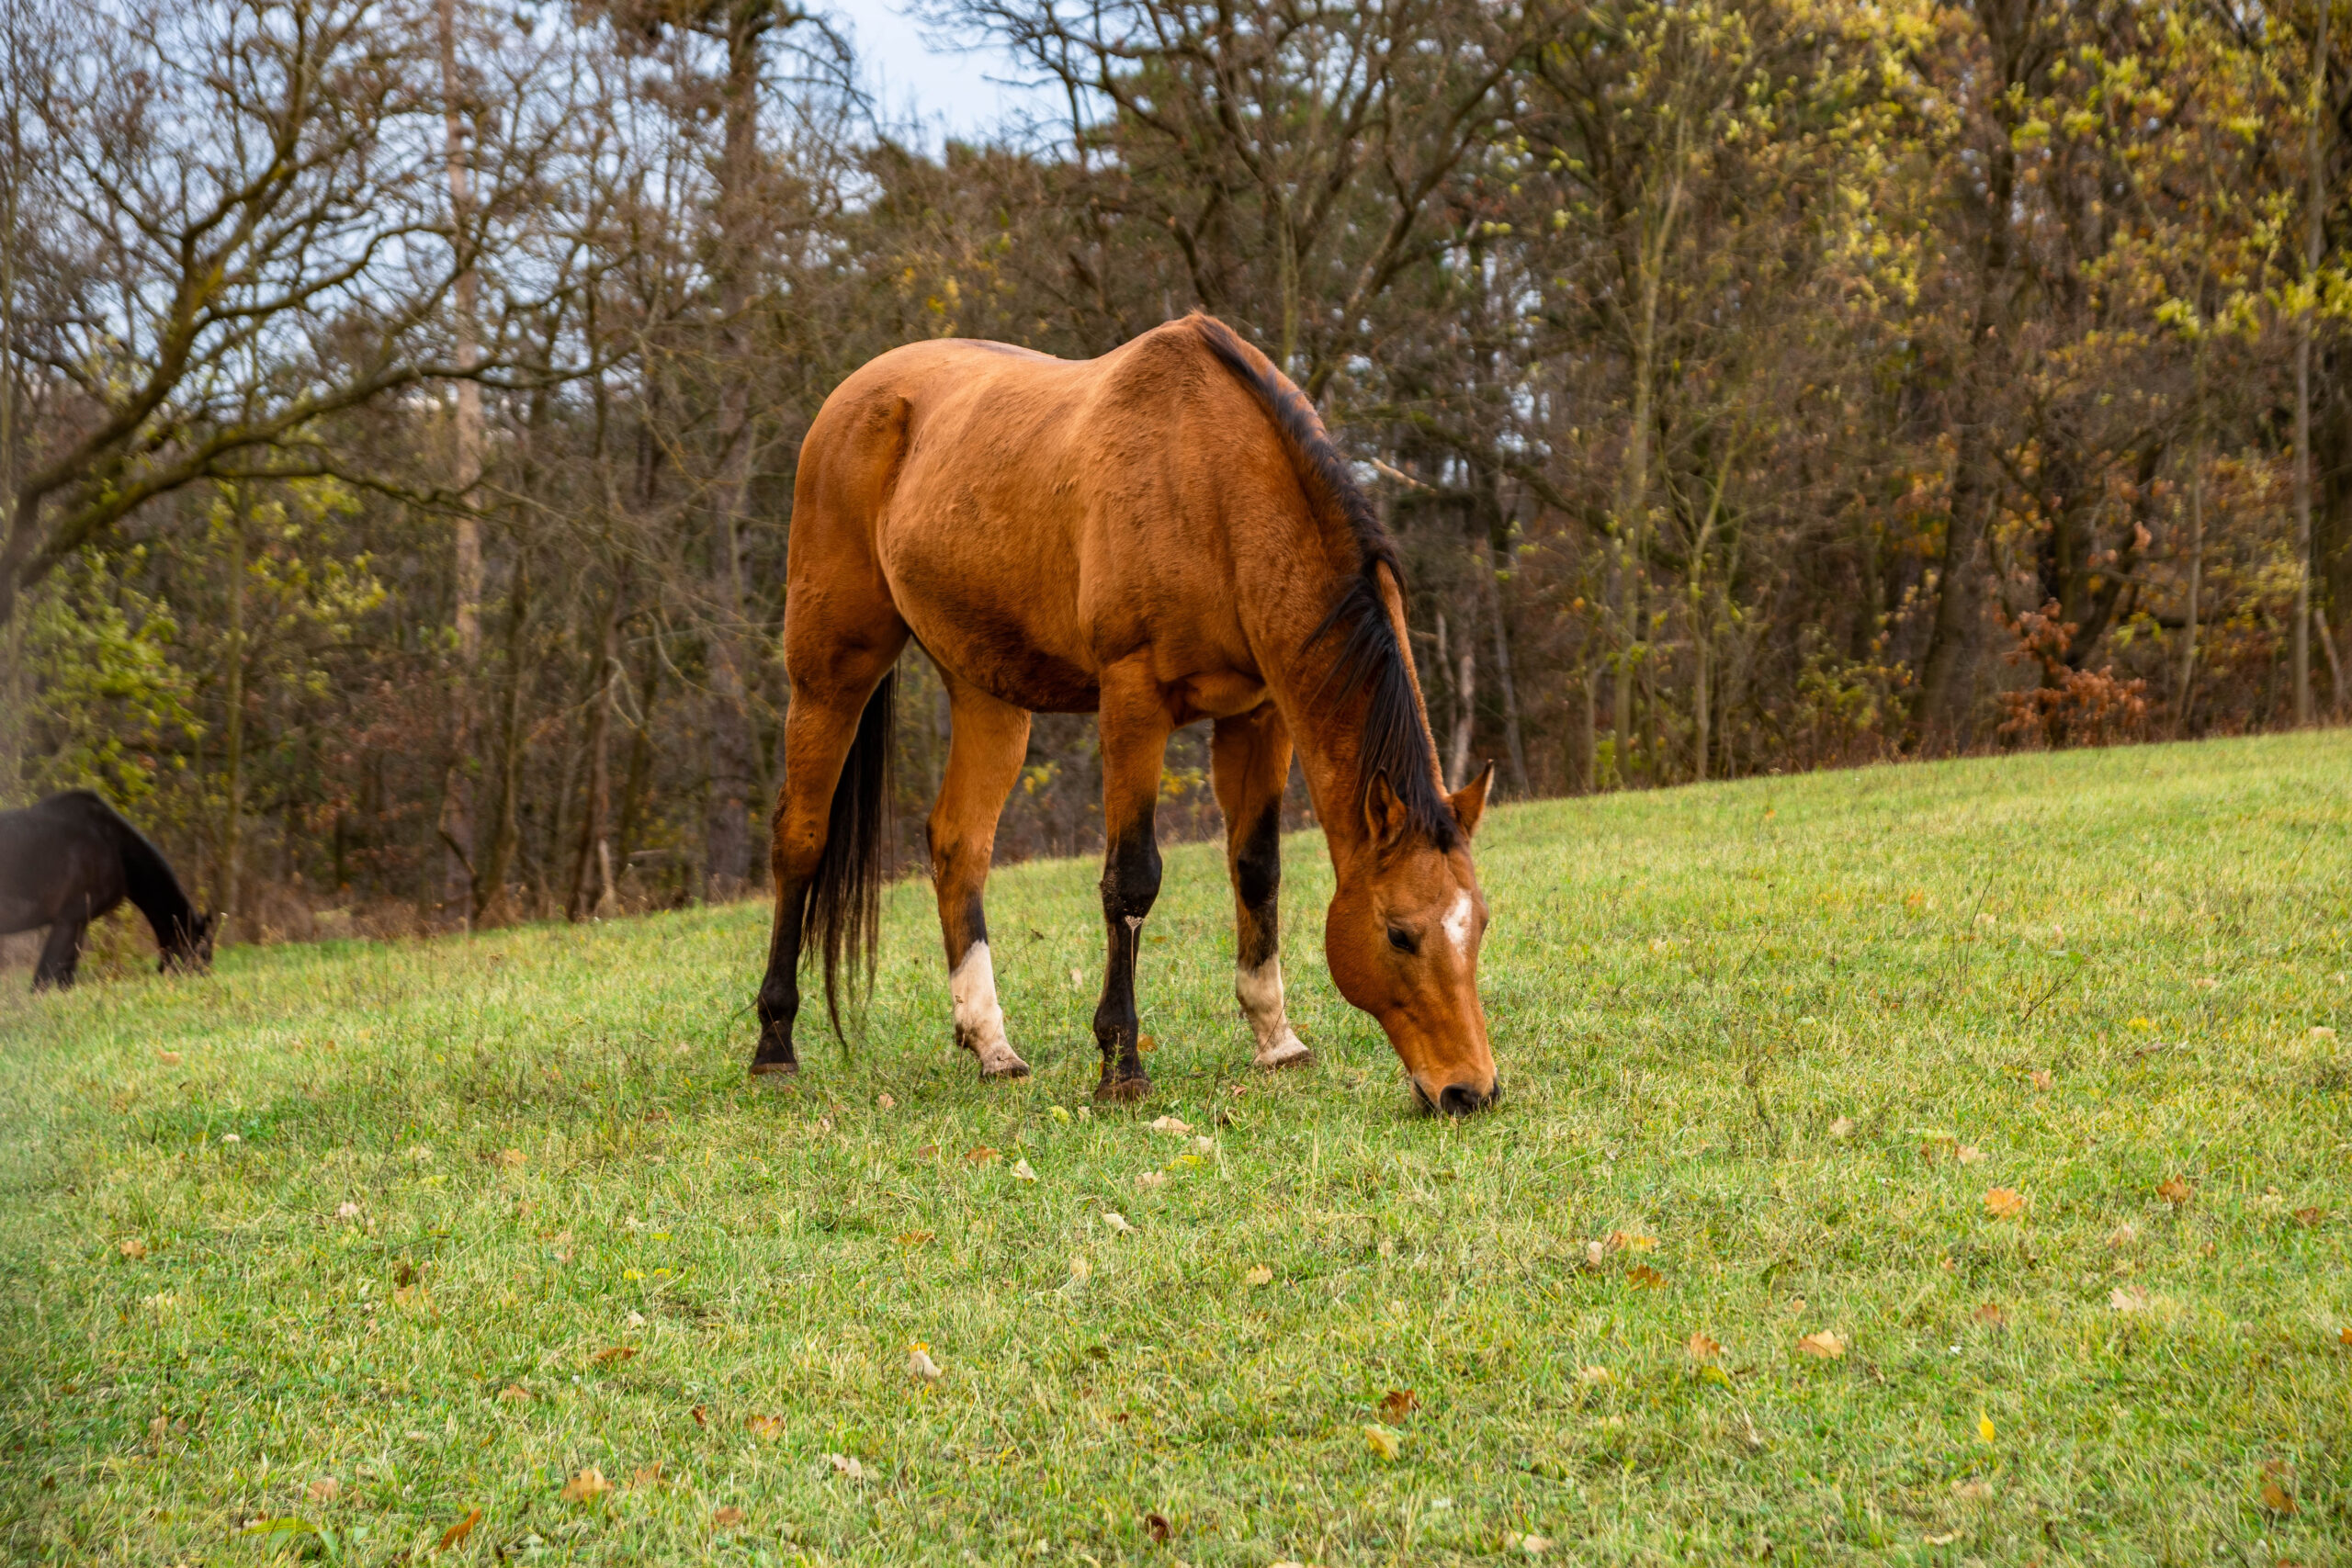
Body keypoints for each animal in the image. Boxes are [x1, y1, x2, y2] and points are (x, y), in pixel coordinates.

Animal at [0, 790, 214, 989]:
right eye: (203, 952)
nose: (205, 980)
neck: (114, 846)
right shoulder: (69, 921)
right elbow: (44, 981)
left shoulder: (77, 924)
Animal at [751, 314, 1498, 1114]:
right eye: (1398, 934)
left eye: (1479, 924)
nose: (1469, 1089)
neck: (1215, 485)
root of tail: (853, 400)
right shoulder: (1134, 699)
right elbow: (1132, 878)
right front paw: (1121, 1063)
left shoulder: (1260, 715)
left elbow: (1256, 868)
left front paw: (1276, 1039)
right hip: (829, 674)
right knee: (800, 837)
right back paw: (775, 1044)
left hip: (987, 691)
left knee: (960, 845)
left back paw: (992, 1046)